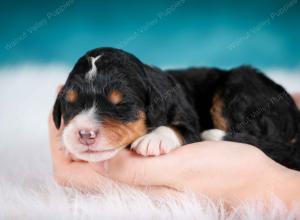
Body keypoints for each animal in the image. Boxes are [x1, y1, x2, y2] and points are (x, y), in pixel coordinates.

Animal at [52, 46, 300, 170]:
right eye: (70, 103)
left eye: (121, 104)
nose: (85, 134)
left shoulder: (188, 120)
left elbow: (175, 127)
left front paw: (154, 139)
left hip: (238, 88)